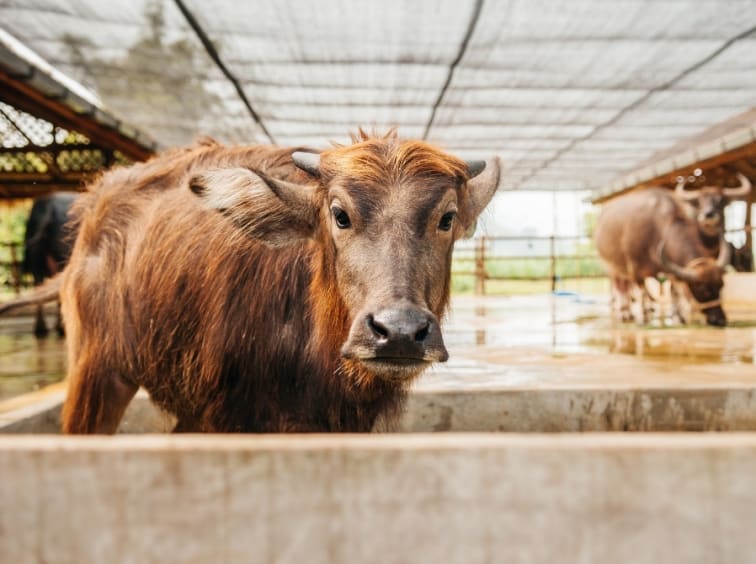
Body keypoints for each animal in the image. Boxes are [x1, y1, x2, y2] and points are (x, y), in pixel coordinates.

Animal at [595, 188, 730, 327]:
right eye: (702, 290)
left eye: (721, 285)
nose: (720, 319)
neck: (657, 230)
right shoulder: (635, 269)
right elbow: (641, 291)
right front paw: (643, 318)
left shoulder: (670, 269)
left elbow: (674, 291)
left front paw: (679, 317)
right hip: (611, 268)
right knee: (620, 287)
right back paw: (624, 313)